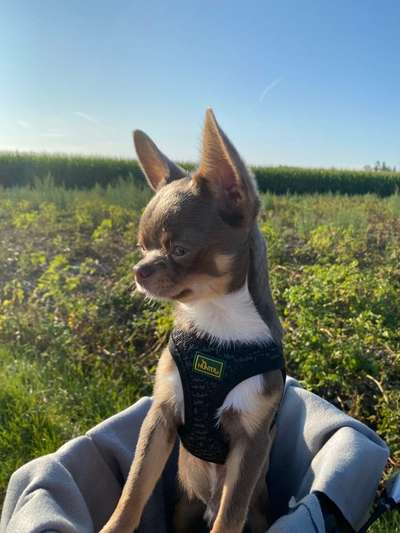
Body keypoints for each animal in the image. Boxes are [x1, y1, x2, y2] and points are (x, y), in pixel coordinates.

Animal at [101, 109, 286, 532]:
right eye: (142, 247)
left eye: (180, 250)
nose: (139, 270)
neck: (216, 319)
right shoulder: (161, 417)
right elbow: (133, 488)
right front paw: (113, 526)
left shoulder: (251, 442)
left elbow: (229, 515)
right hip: (183, 507)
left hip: (259, 511)